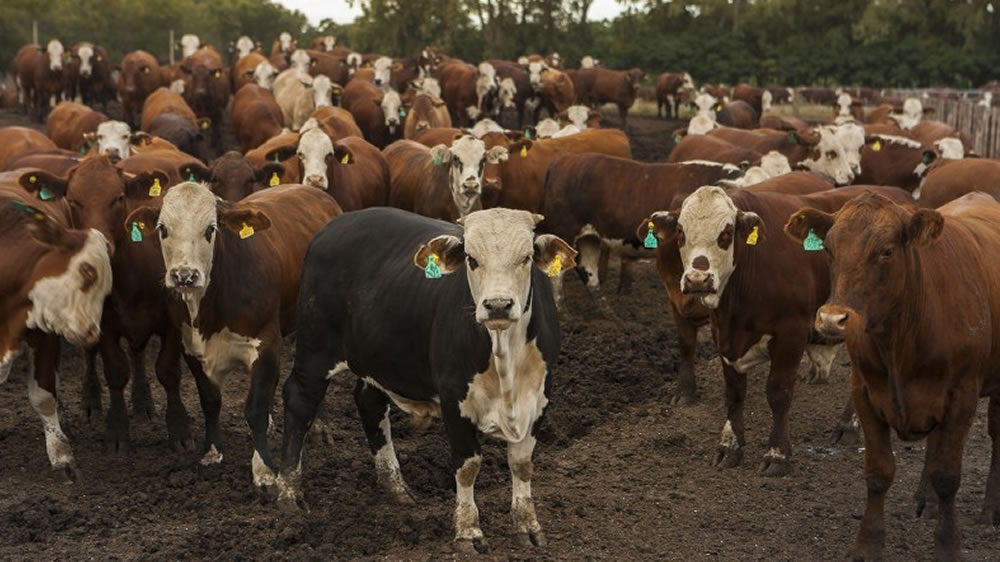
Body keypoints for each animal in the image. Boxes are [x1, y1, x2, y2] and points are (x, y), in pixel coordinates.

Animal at [124, 180, 344, 486]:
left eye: (210, 229)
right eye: (163, 229)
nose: (184, 276)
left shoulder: (266, 345)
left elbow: (255, 408)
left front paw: (263, 469)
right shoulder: (191, 348)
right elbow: (210, 401)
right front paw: (212, 452)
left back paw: (320, 425)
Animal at [644, 184, 916, 472]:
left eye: (726, 233)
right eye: (681, 232)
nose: (698, 280)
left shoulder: (791, 333)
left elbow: (778, 392)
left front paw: (777, 454)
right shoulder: (723, 336)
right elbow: (734, 393)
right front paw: (729, 446)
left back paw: (850, 425)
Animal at [788, 190, 1000, 556]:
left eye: (886, 251)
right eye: (828, 248)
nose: (832, 319)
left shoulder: (962, 396)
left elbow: (948, 476)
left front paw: (948, 546)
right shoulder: (865, 392)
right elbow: (879, 472)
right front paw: (867, 546)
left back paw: (990, 511)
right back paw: (926, 500)